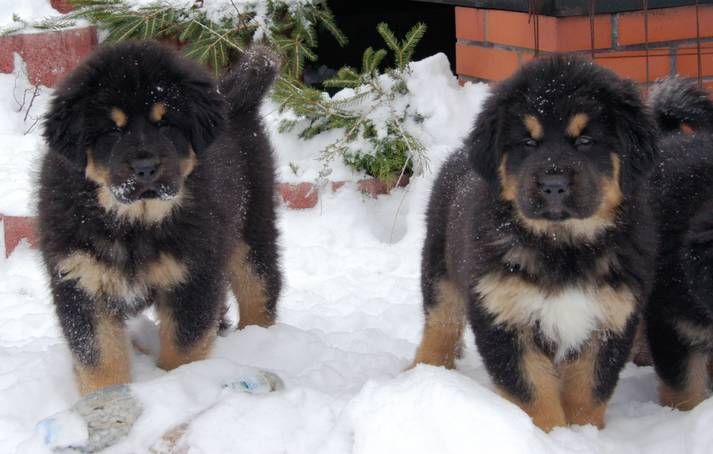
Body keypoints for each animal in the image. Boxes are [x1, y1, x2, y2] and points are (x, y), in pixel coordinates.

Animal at [36, 42, 280, 398]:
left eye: (166, 124)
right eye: (113, 129)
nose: (145, 167)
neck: (135, 224)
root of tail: (233, 97)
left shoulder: (192, 276)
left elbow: (183, 348)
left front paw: (177, 385)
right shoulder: (81, 279)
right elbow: (99, 358)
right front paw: (106, 396)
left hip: (251, 230)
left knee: (260, 291)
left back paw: (262, 341)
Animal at [412, 55, 656, 430]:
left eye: (585, 141)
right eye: (528, 143)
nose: (553, 185)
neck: (562, 247)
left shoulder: (612, 317)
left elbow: (589, 392)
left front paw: (584, 433)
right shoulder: (503, 313)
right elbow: (533, 394)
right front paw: (549, 434)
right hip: (440, 268)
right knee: (440, 324)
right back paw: (424, 374)